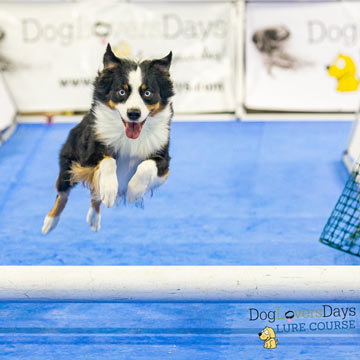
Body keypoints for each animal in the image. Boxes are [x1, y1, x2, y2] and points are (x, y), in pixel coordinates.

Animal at [42, 44, 174, 233]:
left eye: (147, 93)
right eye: (121, 92)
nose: (134, 114)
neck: (129, 137)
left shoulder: (163, 162)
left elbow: (146, 165)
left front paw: (134, 191)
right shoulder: (88, 157)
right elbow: (108, 160)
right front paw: (111, 189)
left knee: (95, 195)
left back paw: (93, 219)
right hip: (68, 166)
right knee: (63, 194)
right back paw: (50, 222)